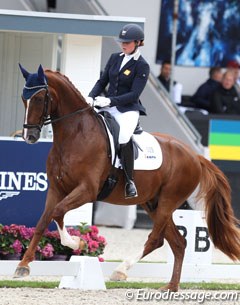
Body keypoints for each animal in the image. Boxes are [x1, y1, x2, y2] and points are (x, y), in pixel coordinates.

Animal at [15, 64, 240, 290]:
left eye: (39, 98)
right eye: (24, 98)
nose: (29, 137)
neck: (75, 135)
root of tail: (195, 156)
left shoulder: (87, 190)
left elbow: (58, 212)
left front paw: (77, 243)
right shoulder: (56, 188)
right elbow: (44, 220)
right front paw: (23, 265)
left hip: (168, 201)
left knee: (156, 238)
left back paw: (121, 270)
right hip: (153, 203)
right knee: (178, 242)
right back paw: (170, 287)